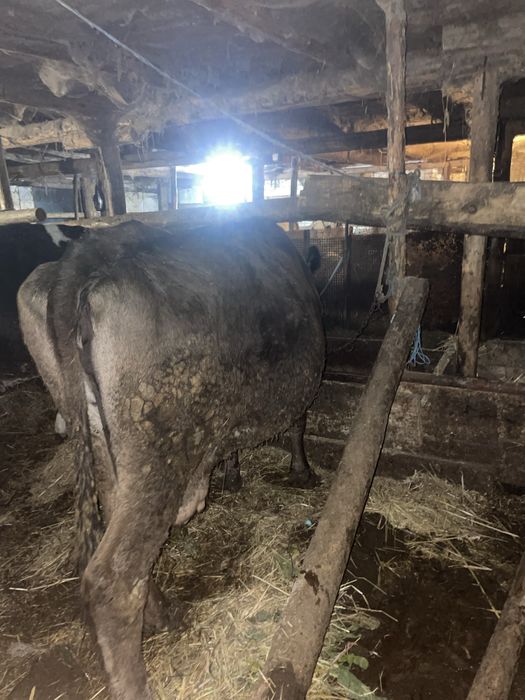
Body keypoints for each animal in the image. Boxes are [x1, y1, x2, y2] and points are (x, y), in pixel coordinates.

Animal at [17, 217, 325, 700]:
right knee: (115, 577)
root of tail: (86, 258)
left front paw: (234, 475)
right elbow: (298, 426)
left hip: (103, 446)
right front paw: (303, 471)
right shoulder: (301, 390)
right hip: (159, 457)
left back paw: (163, 614)